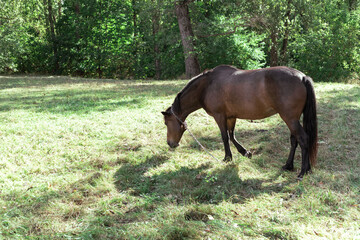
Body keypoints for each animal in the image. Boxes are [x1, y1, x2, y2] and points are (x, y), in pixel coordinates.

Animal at [162, 64, 316, 178]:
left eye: (166, 123)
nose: (170, 143)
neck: (207, 86)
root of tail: (302, 77)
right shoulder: (231, 117)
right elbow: (232, 136)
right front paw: (245, 152)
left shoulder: (219, 116)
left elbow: (225, 137)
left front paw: (227, 158)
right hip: (292, 119)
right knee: (294, 140)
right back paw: (290, 166)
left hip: (290, 118)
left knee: (303, 139)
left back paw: (303, 171)